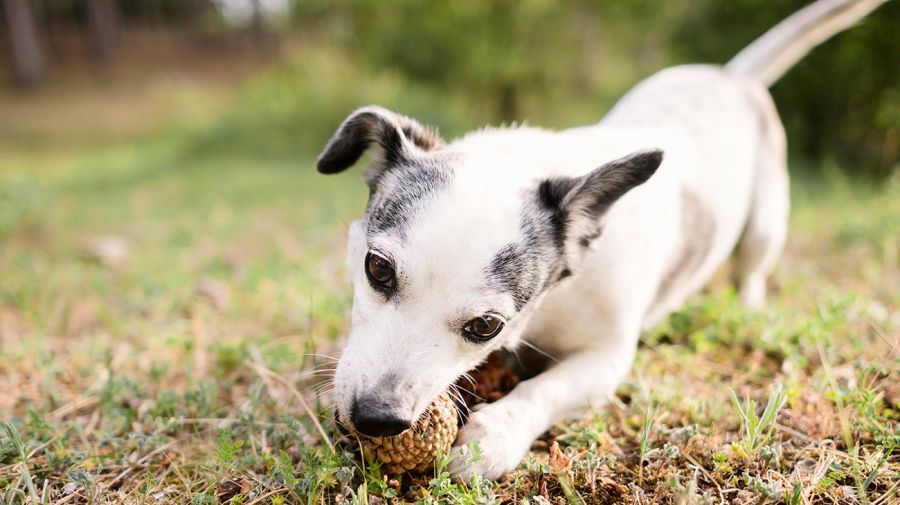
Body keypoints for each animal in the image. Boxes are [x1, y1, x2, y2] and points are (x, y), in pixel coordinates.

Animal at [314, 0, 884, 478]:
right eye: (377, 269)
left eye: (486, 326)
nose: (377, 417)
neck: (554, 302)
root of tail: (732, 76)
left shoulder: (607, 359)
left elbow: (548, 389)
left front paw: (494, 437)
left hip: (766, 225)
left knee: (752, 271)